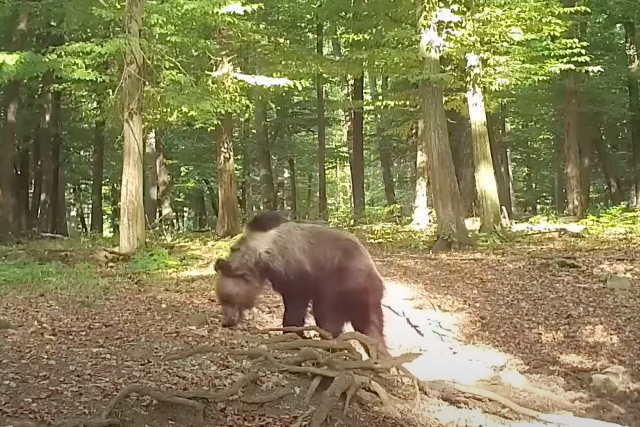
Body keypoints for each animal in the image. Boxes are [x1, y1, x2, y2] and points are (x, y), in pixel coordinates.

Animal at [212, 214, 388, 358]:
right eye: (221, 299)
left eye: (227, 298)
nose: (226, 322)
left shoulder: (298, 272)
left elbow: (296, 305)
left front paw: (294, 333)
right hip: (366, 298)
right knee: (371, 326)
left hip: (344, 281)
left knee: (328, 314)